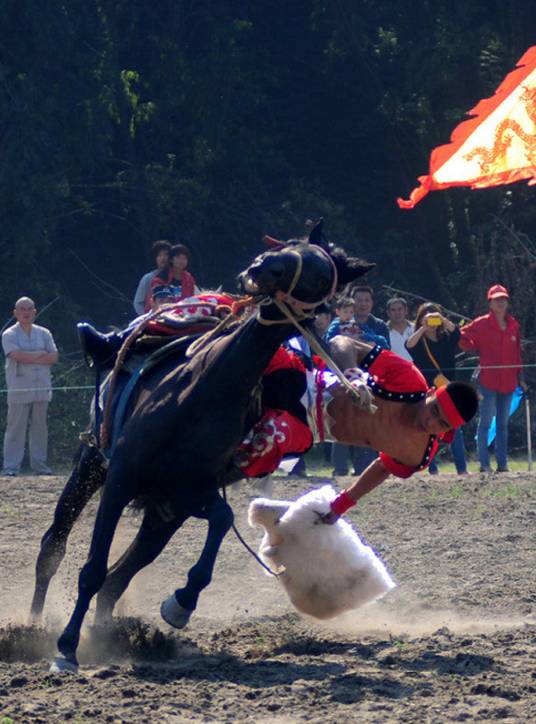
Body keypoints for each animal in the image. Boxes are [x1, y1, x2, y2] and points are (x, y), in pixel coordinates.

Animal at [39, 224, 373, 672]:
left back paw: (110, 635)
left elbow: (221, 518)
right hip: (91, 463)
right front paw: (65, 647)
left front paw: (180, 604)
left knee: (119, 576)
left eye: (322, 278)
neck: (200, 393)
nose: (263, 267)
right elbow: (91, 568)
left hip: (162, 513)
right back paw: (34, 625)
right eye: (291, 247)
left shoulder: (187, 491)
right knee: (53, 547)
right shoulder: (123, 476)